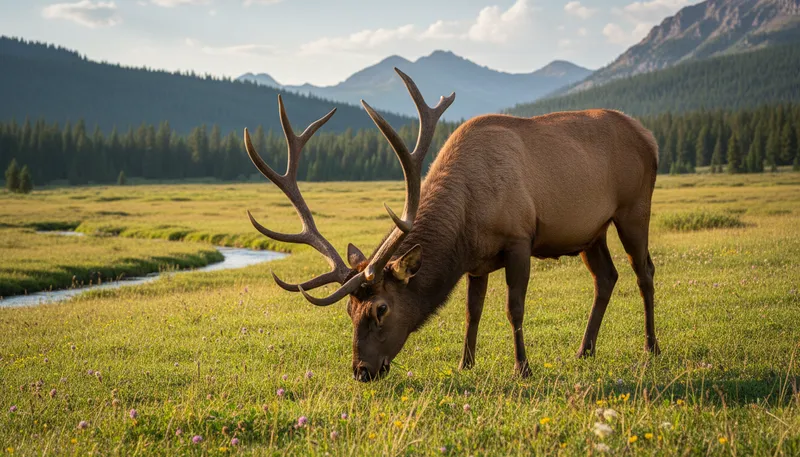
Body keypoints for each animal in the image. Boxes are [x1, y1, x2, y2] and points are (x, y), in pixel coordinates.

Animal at [243, 69, 660, 382]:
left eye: (381, 309)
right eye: (349, 311)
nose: (361, 371)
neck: (467, 219)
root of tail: (649, 136)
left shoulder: (519, 239)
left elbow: (514, 307)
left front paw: (522, 368)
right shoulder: (477, 261)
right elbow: (472, 311)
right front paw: (465, 364)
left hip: (634, 208)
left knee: (644, 270)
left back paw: (651, 346)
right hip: (592, 232)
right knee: (606, 277)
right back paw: (584, 350)